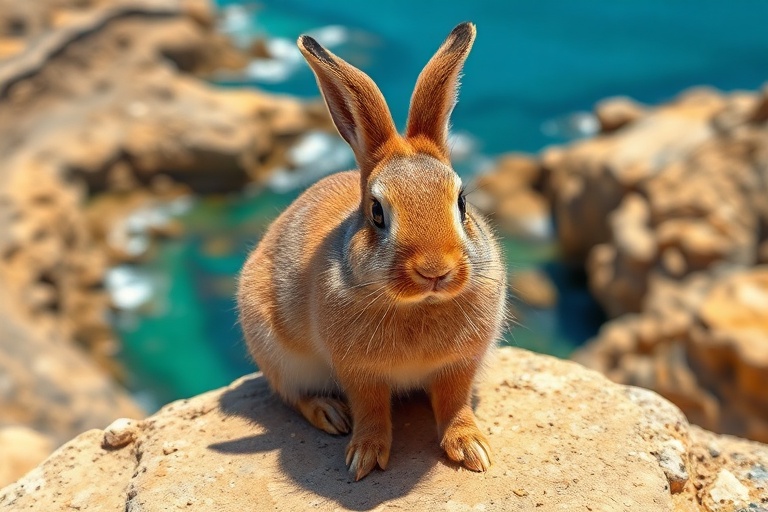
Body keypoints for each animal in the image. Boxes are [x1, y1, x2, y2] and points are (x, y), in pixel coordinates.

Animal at [237, 22, 507, 481]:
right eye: (377, 213)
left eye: (462, 203)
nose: (435, 270)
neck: (420, 305)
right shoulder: (358, 372)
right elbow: (370, 408)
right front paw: (363, 458)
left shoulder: (460, 364)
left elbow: (454, 403)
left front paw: (473, 450)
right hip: (276, 352)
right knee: (293, 394)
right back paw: (330, 414)